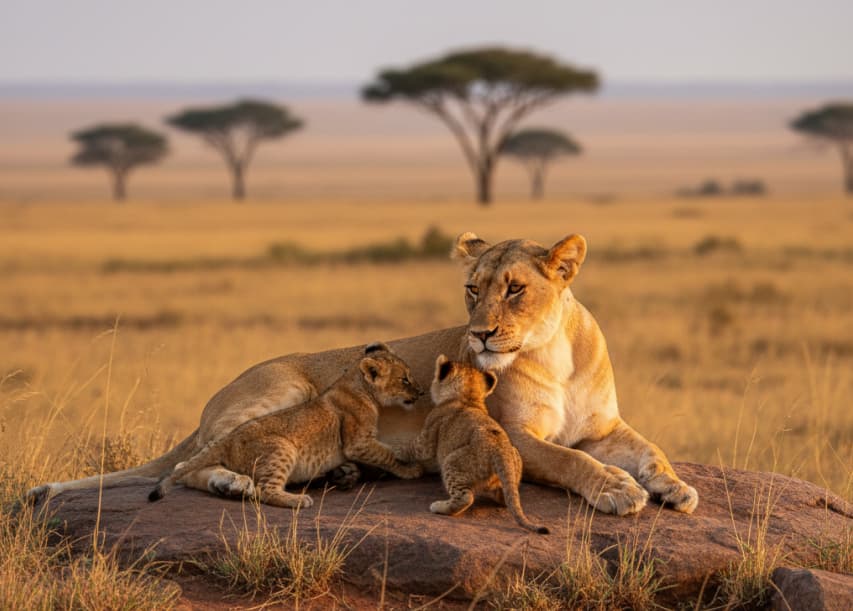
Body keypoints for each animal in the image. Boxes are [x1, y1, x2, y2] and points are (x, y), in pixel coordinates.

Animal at [404, 354, 548, 534]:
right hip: (513, 460)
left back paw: (438, 507)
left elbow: (413, 448)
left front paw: (394, 452)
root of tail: (500, 451)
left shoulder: (427, 436)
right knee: (508, 496)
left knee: (465, 498)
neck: (467, 397)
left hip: (452, 461)